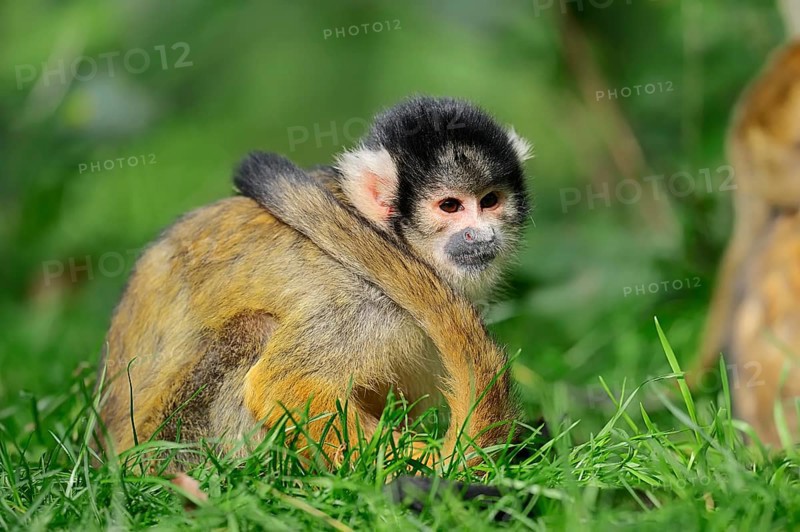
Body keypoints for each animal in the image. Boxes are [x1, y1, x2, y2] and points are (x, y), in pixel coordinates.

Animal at [97, 96, 533, 468]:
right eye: (450, 206)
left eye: (489, 201)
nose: (480, 235)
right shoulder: (360, 299)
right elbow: (284, 385)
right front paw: (410, 463)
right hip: (175, 445)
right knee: (255, 330)